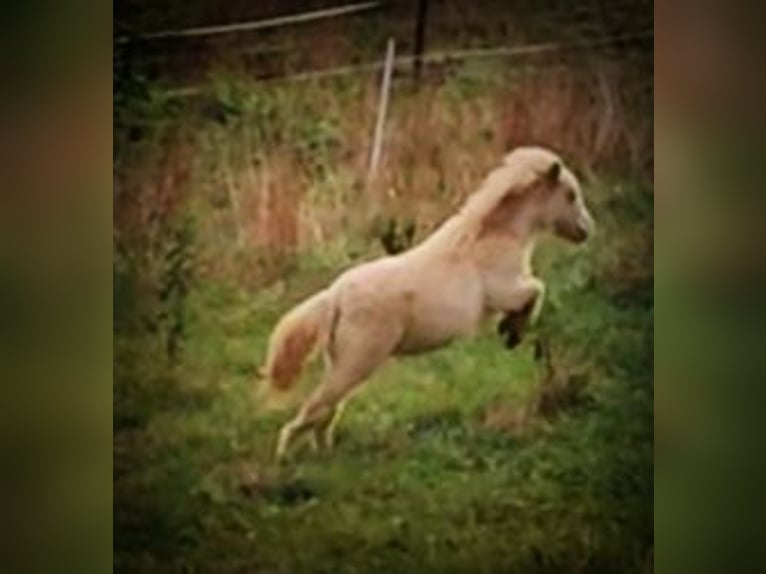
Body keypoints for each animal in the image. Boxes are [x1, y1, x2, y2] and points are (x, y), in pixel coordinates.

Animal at [260, 146, 595, 460]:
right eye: (570, 194)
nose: (586, 231)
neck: (493, 237)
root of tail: (335, 296)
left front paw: (511, 333)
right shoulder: (503, 290)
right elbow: (537, 290)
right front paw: (511, 331)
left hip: (342, 364)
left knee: (324, 414)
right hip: (357, 364)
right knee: (312, 412)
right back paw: (284, 457)